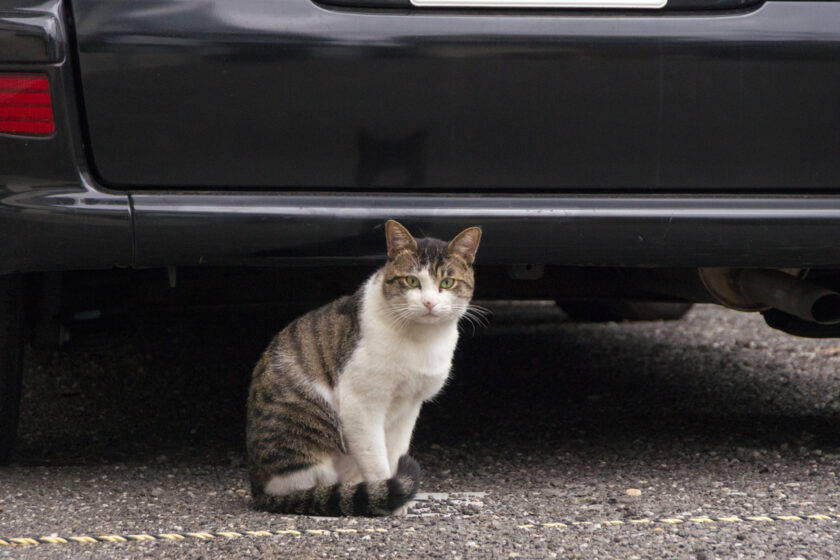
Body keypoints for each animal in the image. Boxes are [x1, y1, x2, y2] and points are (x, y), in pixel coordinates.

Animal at [244, 221, 480, 520]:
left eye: (447, 282)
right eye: (412, 281)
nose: (428, 303)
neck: (422, 339)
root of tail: (258, 489)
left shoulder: (409, 406)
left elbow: (396, 453)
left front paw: (398, 492)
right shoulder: (362, 404)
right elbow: (377, 460)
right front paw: (391, 499)